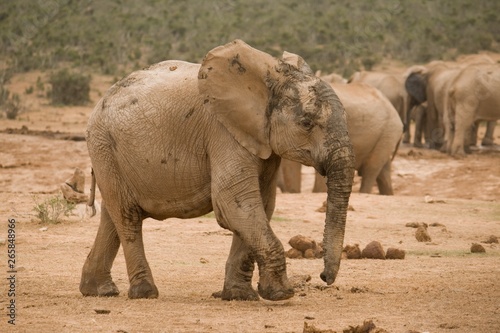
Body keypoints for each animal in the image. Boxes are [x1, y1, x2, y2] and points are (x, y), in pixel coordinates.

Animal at [80, 39, 356, 300]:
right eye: (306, 123)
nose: (323, 277)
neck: (270, 77)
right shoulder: (224, 132)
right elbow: (234, 203)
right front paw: (281, 294)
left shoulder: (260, 140)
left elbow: (261, 204)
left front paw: (241, 295)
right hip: (103, 145)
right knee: (127, 217)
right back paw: (144, 293)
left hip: (109, 153)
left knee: (112, 216)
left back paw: (98, 291)